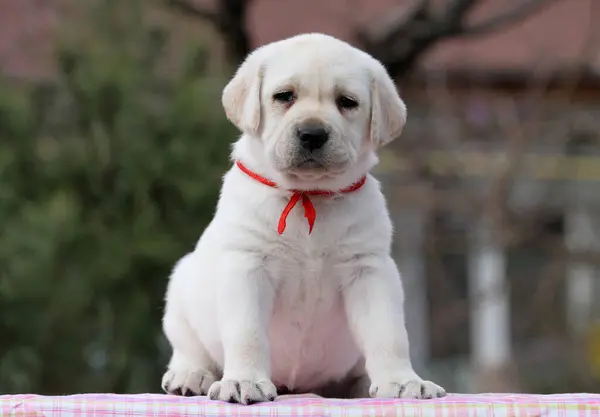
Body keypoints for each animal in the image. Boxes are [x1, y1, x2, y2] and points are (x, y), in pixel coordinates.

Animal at [159, 32, 446, 404]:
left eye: (347, 102)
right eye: (285, 96)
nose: (312, 134)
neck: (308, 196)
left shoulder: (369, 270)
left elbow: (389, 333)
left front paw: (402, 381)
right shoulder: (248, 265)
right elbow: (247, 332)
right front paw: (244, 381)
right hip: (180, 293)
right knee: (189, 349)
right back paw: (190, 376)